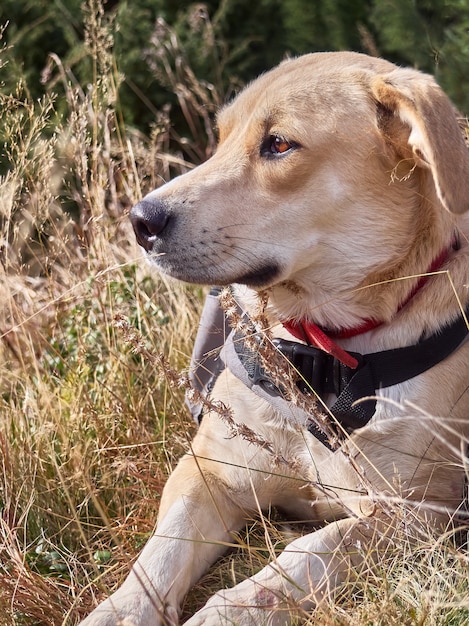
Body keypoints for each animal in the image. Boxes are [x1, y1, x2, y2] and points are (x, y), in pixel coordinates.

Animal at [80, 51, 468, 620]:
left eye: (279, 144)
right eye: (220, 138)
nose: (140, 221)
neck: (318, 350)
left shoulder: (417, 511)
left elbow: (310, 550)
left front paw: (224, 612)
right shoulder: (209, 470)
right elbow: (162, 551)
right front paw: (119, 612)